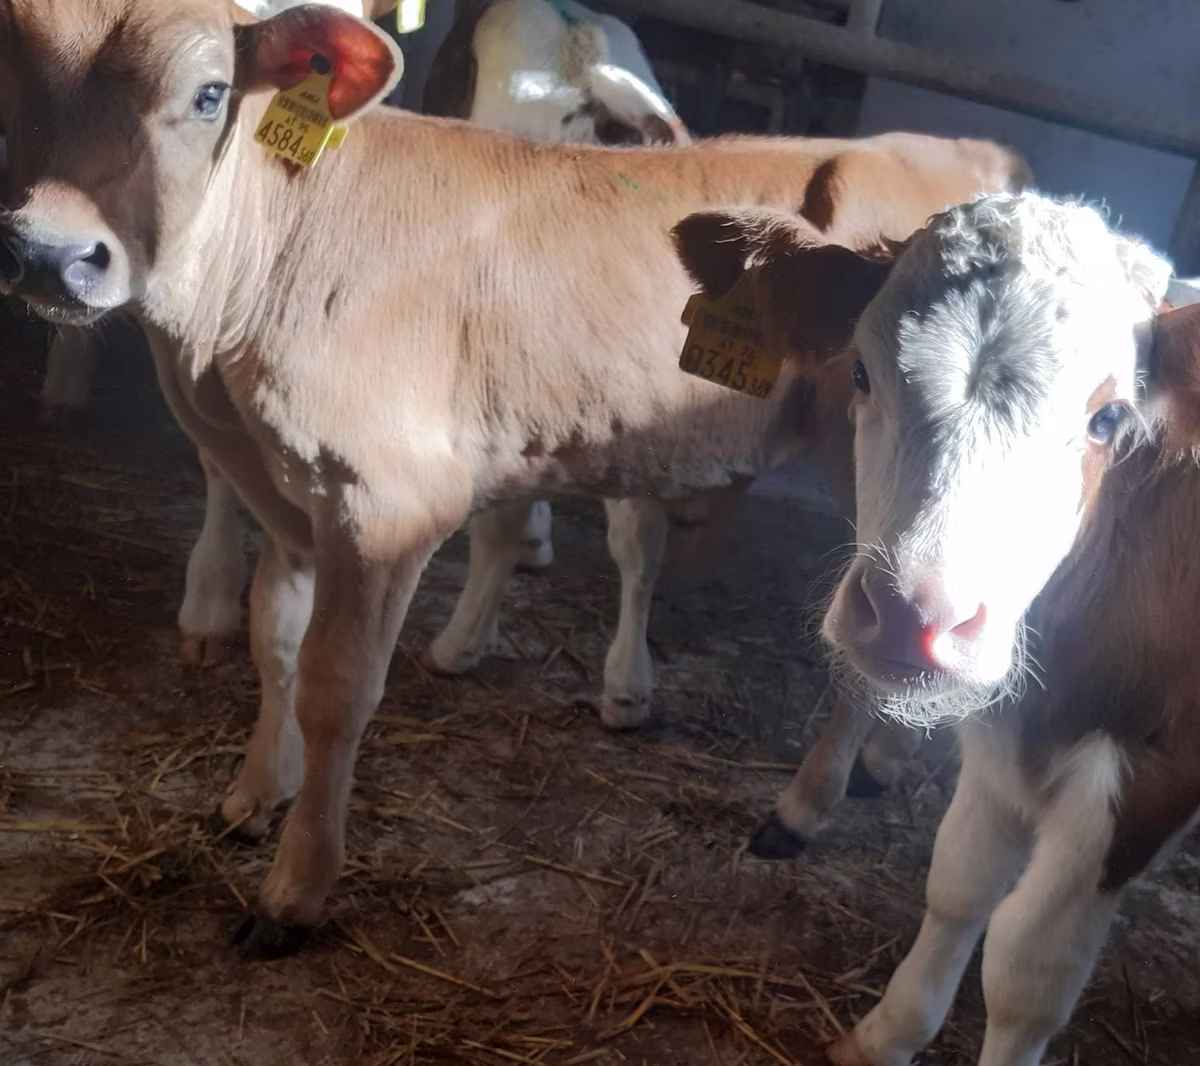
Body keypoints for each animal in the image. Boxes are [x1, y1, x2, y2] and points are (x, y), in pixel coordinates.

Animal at [0, 0, 1025, 957]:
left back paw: (805, 806)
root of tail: (972, 154)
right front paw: (255, 792)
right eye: (15, 68)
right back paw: (887, 758)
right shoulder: (283, 490)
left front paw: (294, 891)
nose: (52, 254)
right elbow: (275, 645)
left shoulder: (386, 504)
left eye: (210, 93)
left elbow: (337, 687)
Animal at [674, 192, 1174, 1065]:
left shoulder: (1151, 777)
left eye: (1109, 418)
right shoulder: (1001, 732)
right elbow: (960, 886)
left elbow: (1026, 974)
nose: (915, 617)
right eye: (861, 373)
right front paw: (885, 1035)